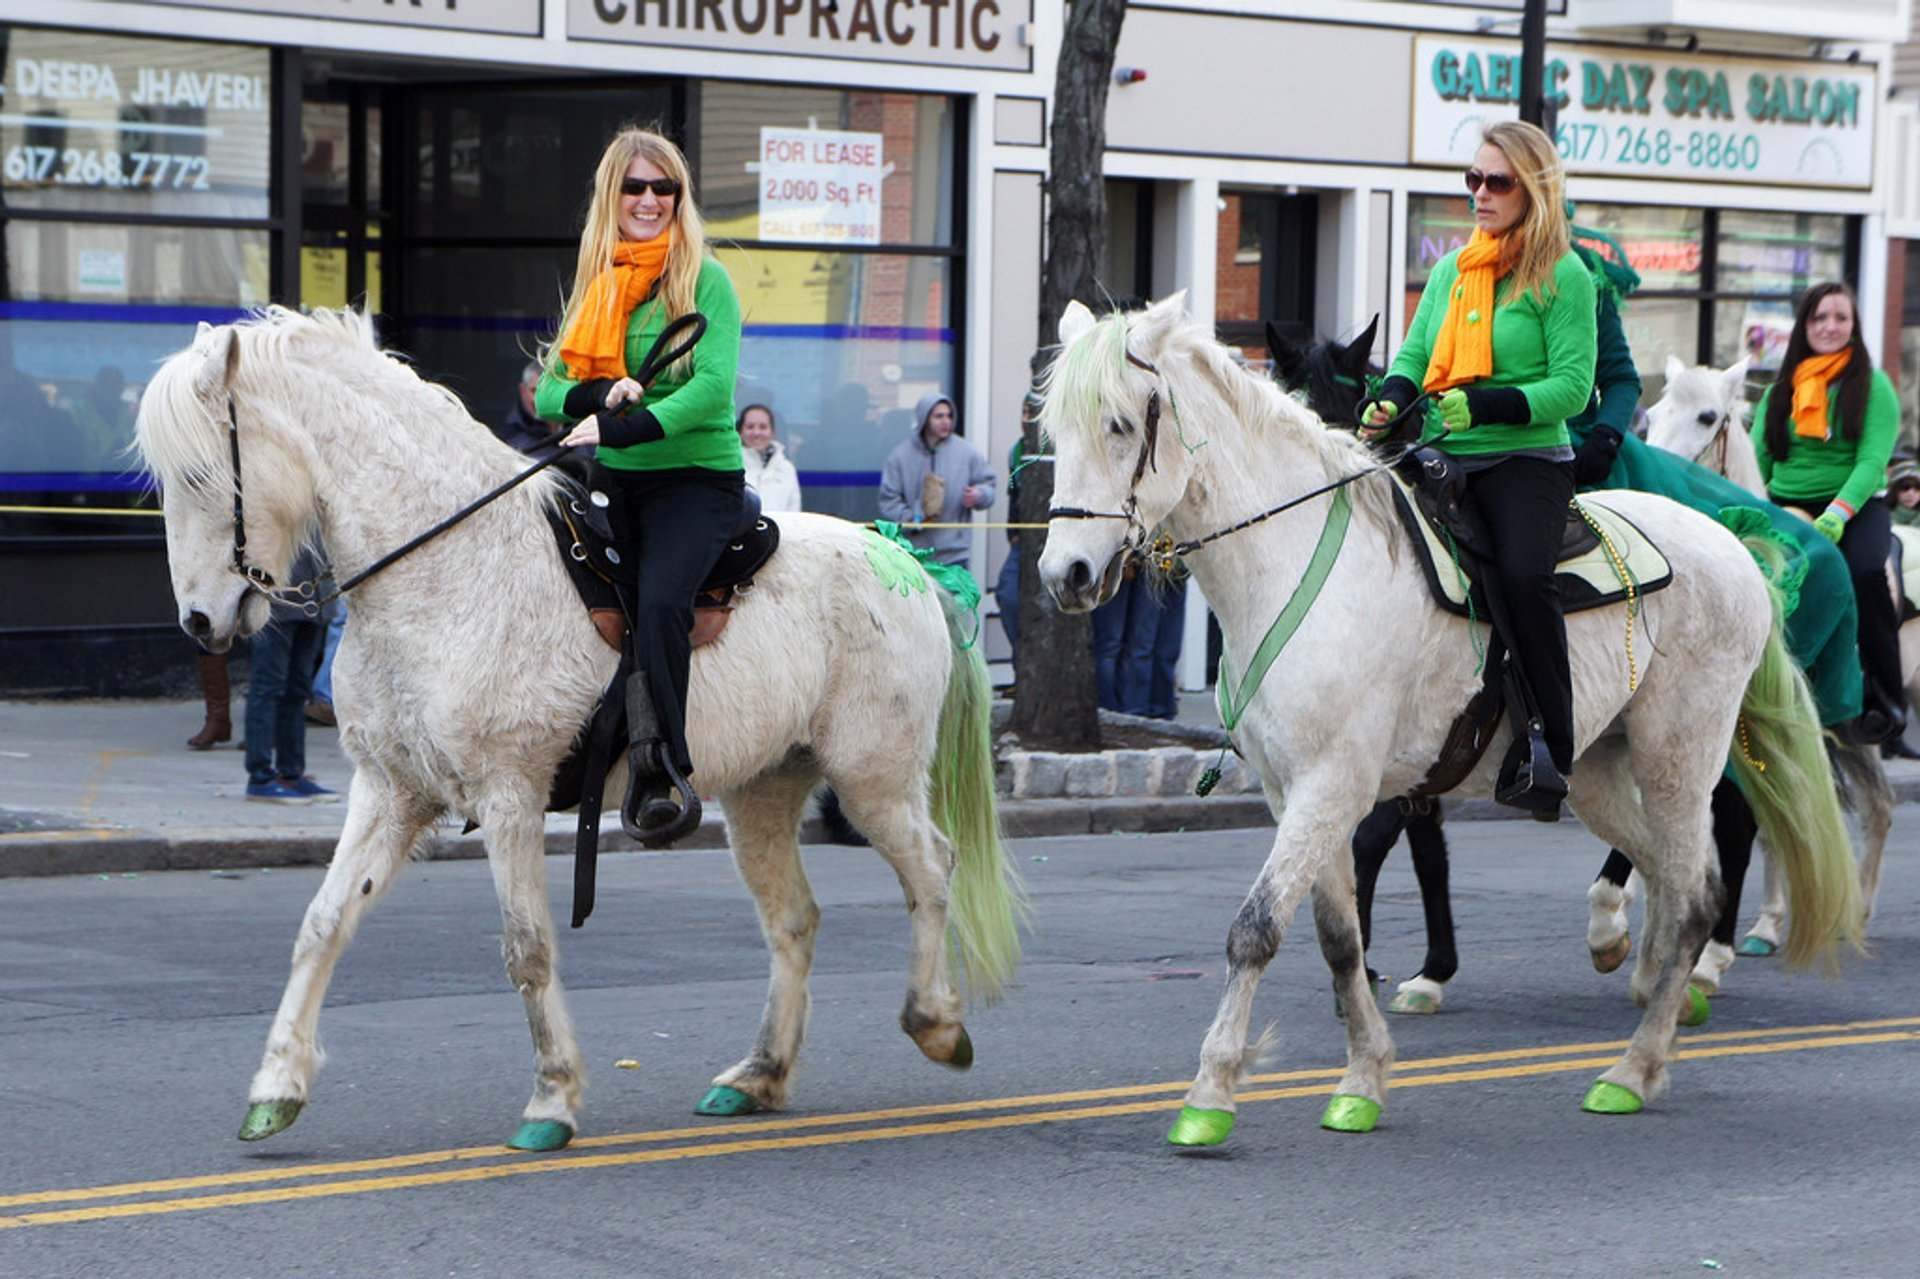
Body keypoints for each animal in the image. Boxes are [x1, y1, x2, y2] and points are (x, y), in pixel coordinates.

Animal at [139, 307, 1021, 1144]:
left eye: (198, 474)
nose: (198, 620)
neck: (447, 568)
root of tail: (905, 559)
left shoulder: (508, 796)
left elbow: (526, 949)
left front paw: (551, 1098)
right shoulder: (390, 792)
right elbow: (322, 923)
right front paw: (276, 1088)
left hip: (874, 779)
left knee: (932, 868)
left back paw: (936, 1024)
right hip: (764, 792)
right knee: (795, 919)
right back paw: (759, 1074)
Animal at [1036, 299, 1858, 1144]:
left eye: (1120, 424)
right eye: (1054, 430)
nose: (1066, 574)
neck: (1292, 563)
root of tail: (1735, 545)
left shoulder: (1332, 785)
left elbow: (1256, 928)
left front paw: (1210, 1093)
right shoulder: (1296, 790)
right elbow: (1338, 935)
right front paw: (1362, 1076)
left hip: (1680, 758)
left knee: (1698, 891)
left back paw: (1633, 1066)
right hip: (1599, 768)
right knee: (1670, 872)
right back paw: (1647, 983)